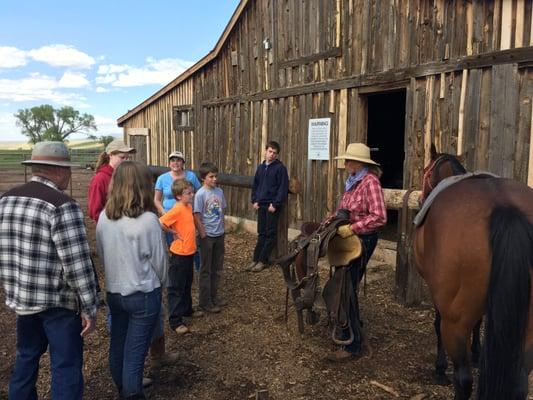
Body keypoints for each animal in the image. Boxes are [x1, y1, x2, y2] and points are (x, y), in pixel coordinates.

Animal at [414, 145, 532, 398]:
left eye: (426, 171)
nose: (420, 198)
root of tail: (505, 207)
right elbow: (480, 321)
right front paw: (477, 352)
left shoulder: (440, 297)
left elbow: (437, 323)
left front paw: (440, 368)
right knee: (519, 383)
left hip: (456, 324)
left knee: (464, 380)